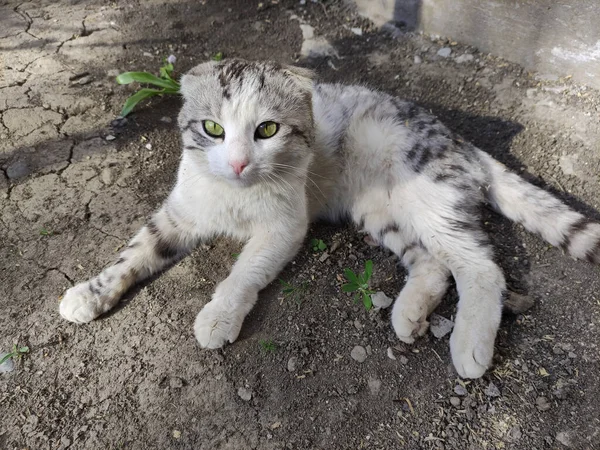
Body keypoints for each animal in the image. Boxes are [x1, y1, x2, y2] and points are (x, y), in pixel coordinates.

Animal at [58, 58, 600, 378]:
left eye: (267, 130)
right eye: (212, 128)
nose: (237, 163)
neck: (233, 196)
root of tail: (459, 141)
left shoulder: (284, 226)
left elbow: (242, 272)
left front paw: (218, 316)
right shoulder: (180, 213)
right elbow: (135, 252)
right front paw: (90, 292)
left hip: (429, 198)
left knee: (481, 268)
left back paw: (469, 346)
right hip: (380, 211)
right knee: (433, 264)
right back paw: (409, 315)